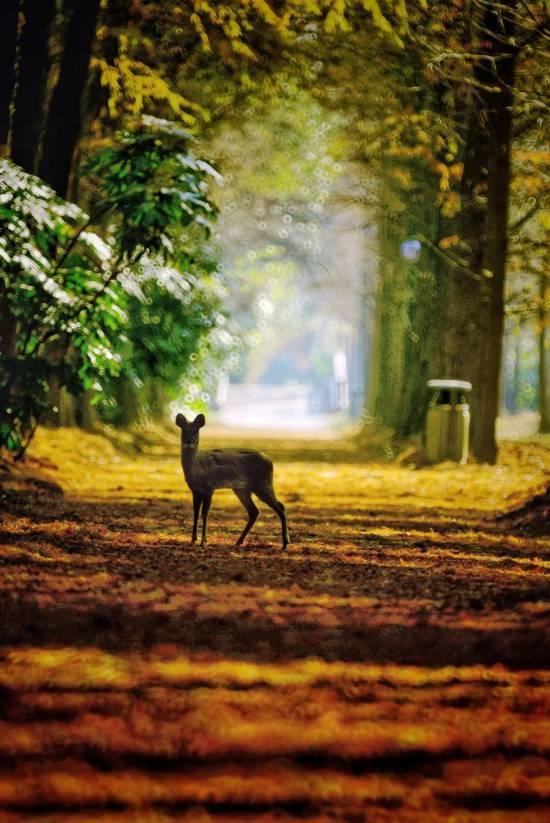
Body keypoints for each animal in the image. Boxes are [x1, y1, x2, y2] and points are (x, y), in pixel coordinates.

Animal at [177, 416, 292, 552]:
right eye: (184, 429)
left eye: (196, 430)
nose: (191, 440)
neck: (195, 468)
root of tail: (271, 461)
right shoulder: (195, 490)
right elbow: (195, 512)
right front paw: (193, 540)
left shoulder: (209, 487)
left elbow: (204, 513)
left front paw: (203, 542)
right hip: (242, 489)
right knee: (254, 511)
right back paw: (238, 541)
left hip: (263, 483)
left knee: (280, 507)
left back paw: (285, 544)